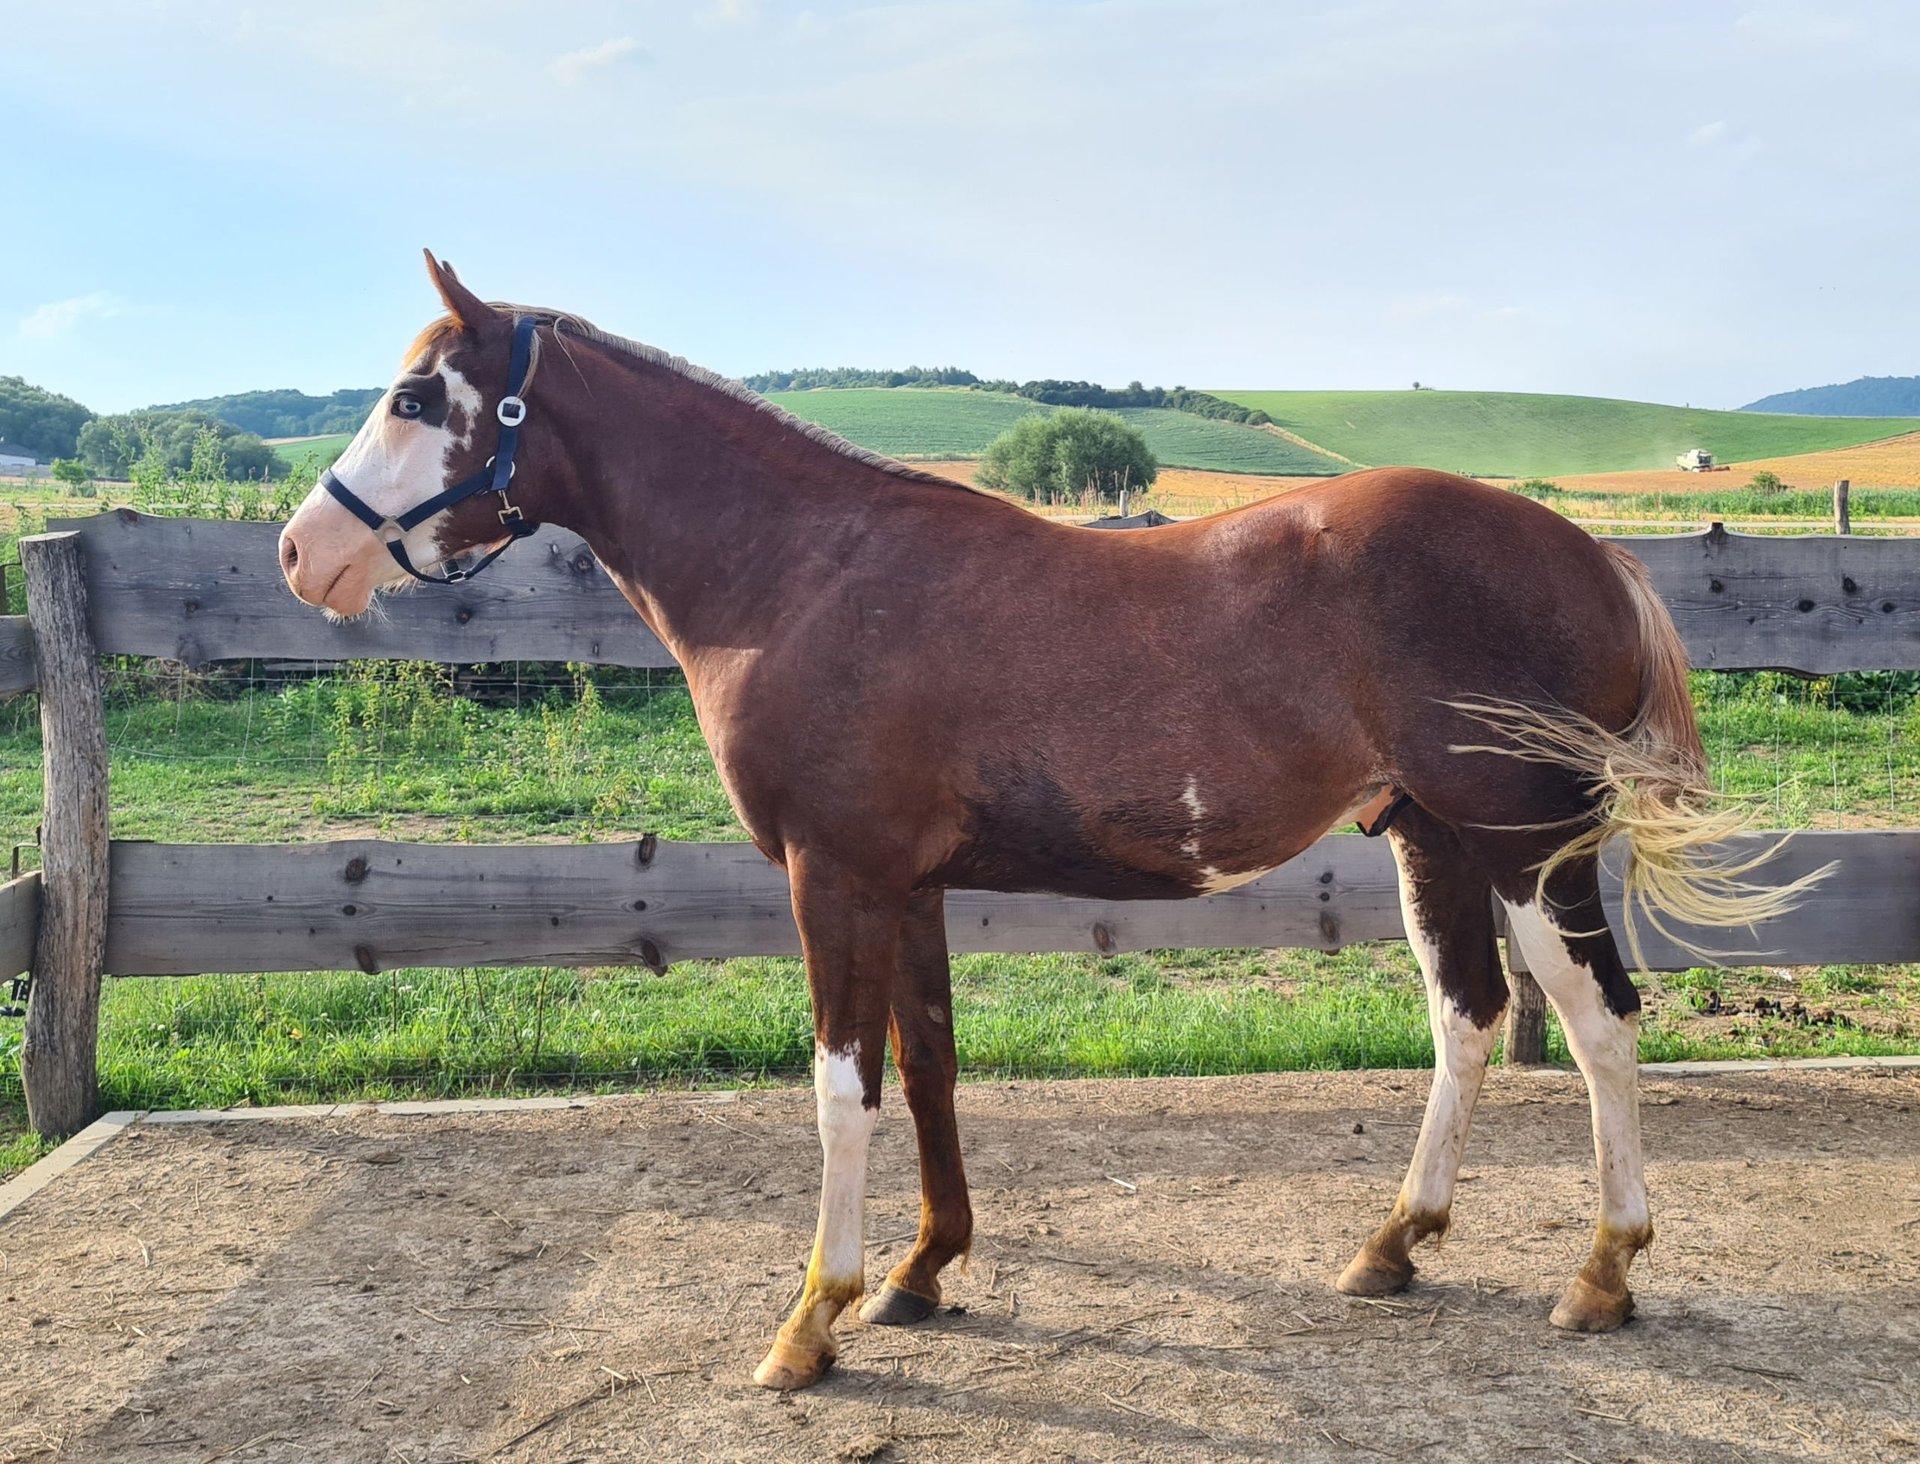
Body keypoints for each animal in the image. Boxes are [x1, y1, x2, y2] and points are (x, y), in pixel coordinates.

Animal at [279, 253, 1816, 1392]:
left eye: (415, 394)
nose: (306, 551)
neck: (806, 573)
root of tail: (1594, 551)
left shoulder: (834, 879)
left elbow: (841, 1088)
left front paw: (811, 1320)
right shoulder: (903, 884)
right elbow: (931, 1070)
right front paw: (919, 1275)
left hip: (1524, 847)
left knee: (1601, 1021)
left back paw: (1602, 1273)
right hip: (1430, 840)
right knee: (1471, 1018)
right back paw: (1393, 1245)